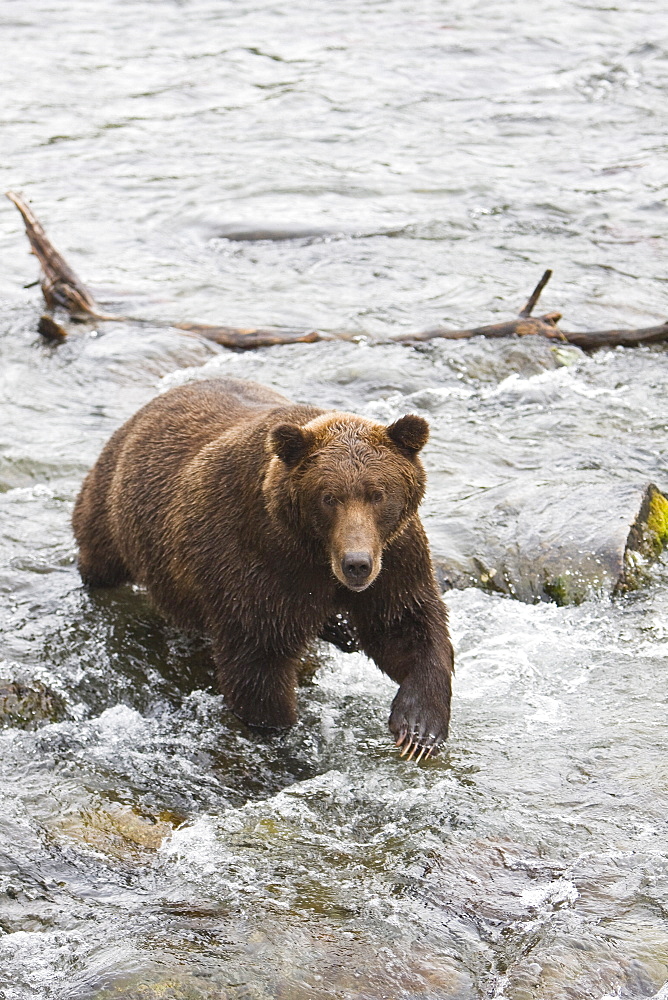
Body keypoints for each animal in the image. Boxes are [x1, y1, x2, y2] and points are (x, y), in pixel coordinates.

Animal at [73, 376, 454, 756]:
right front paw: (279, 729)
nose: (357, 564)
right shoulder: (259, 561)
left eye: (378, 494)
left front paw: (419, 729)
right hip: (112, 515)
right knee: (100, 559)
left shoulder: (395, 554)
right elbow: (259, 663)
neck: (315, 552)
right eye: (328, 497)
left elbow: (403, 625)